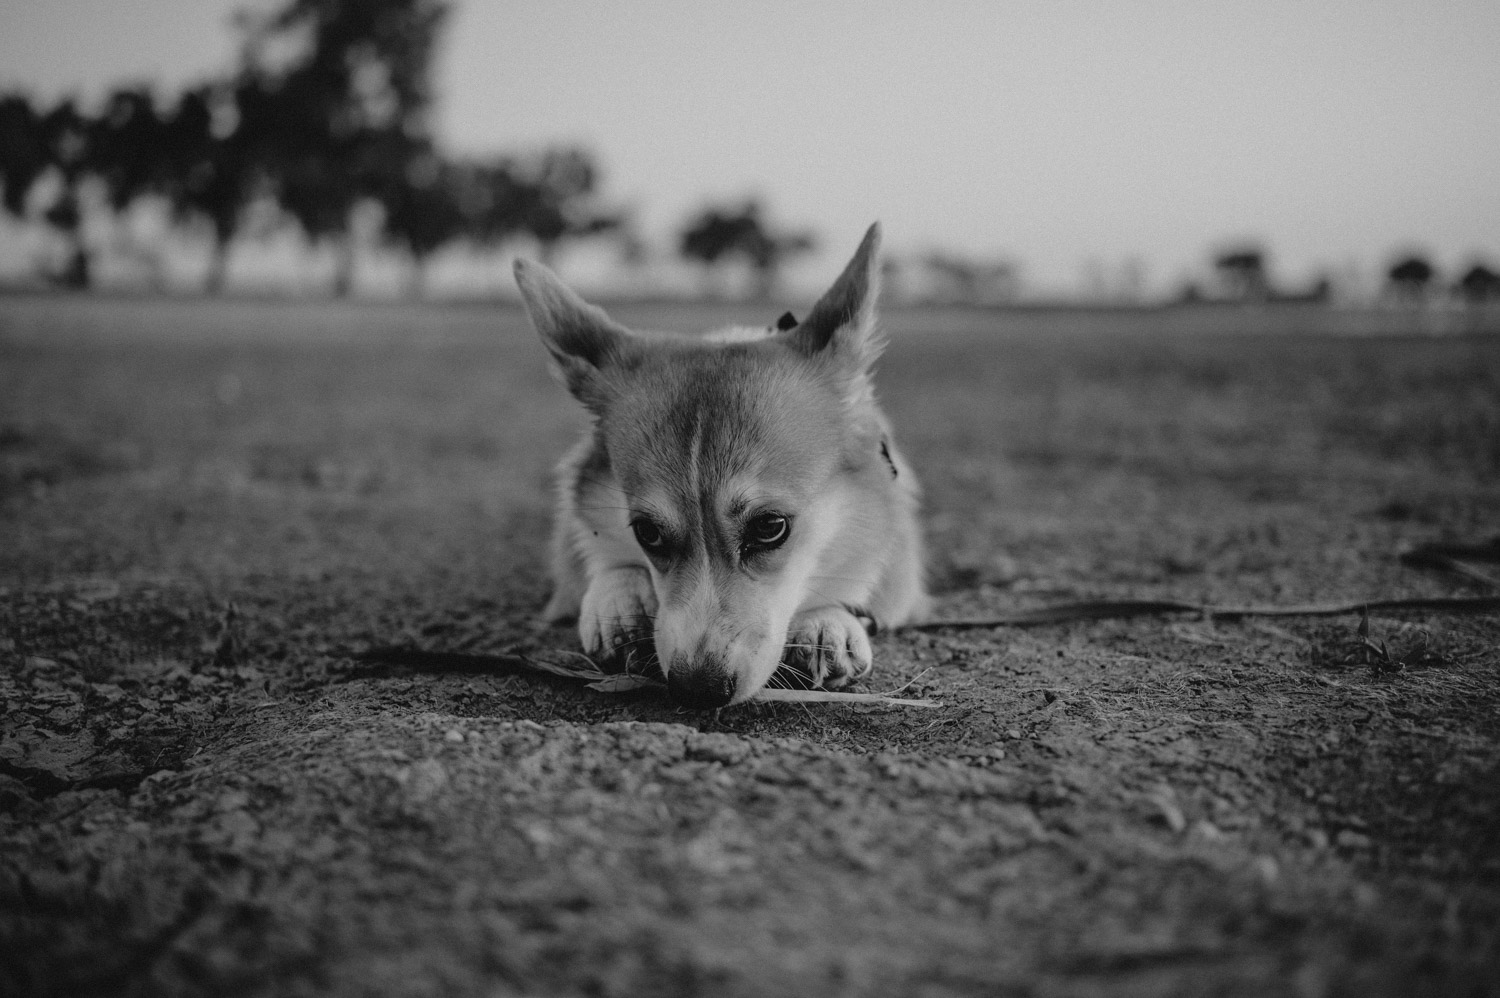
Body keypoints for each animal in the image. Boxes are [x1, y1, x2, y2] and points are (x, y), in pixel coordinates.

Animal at [514, 223, 926, 708]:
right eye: (646, 533)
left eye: (770, 527)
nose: (699, 691)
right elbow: (600, 555)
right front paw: (619, 599)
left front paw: (827, 620)